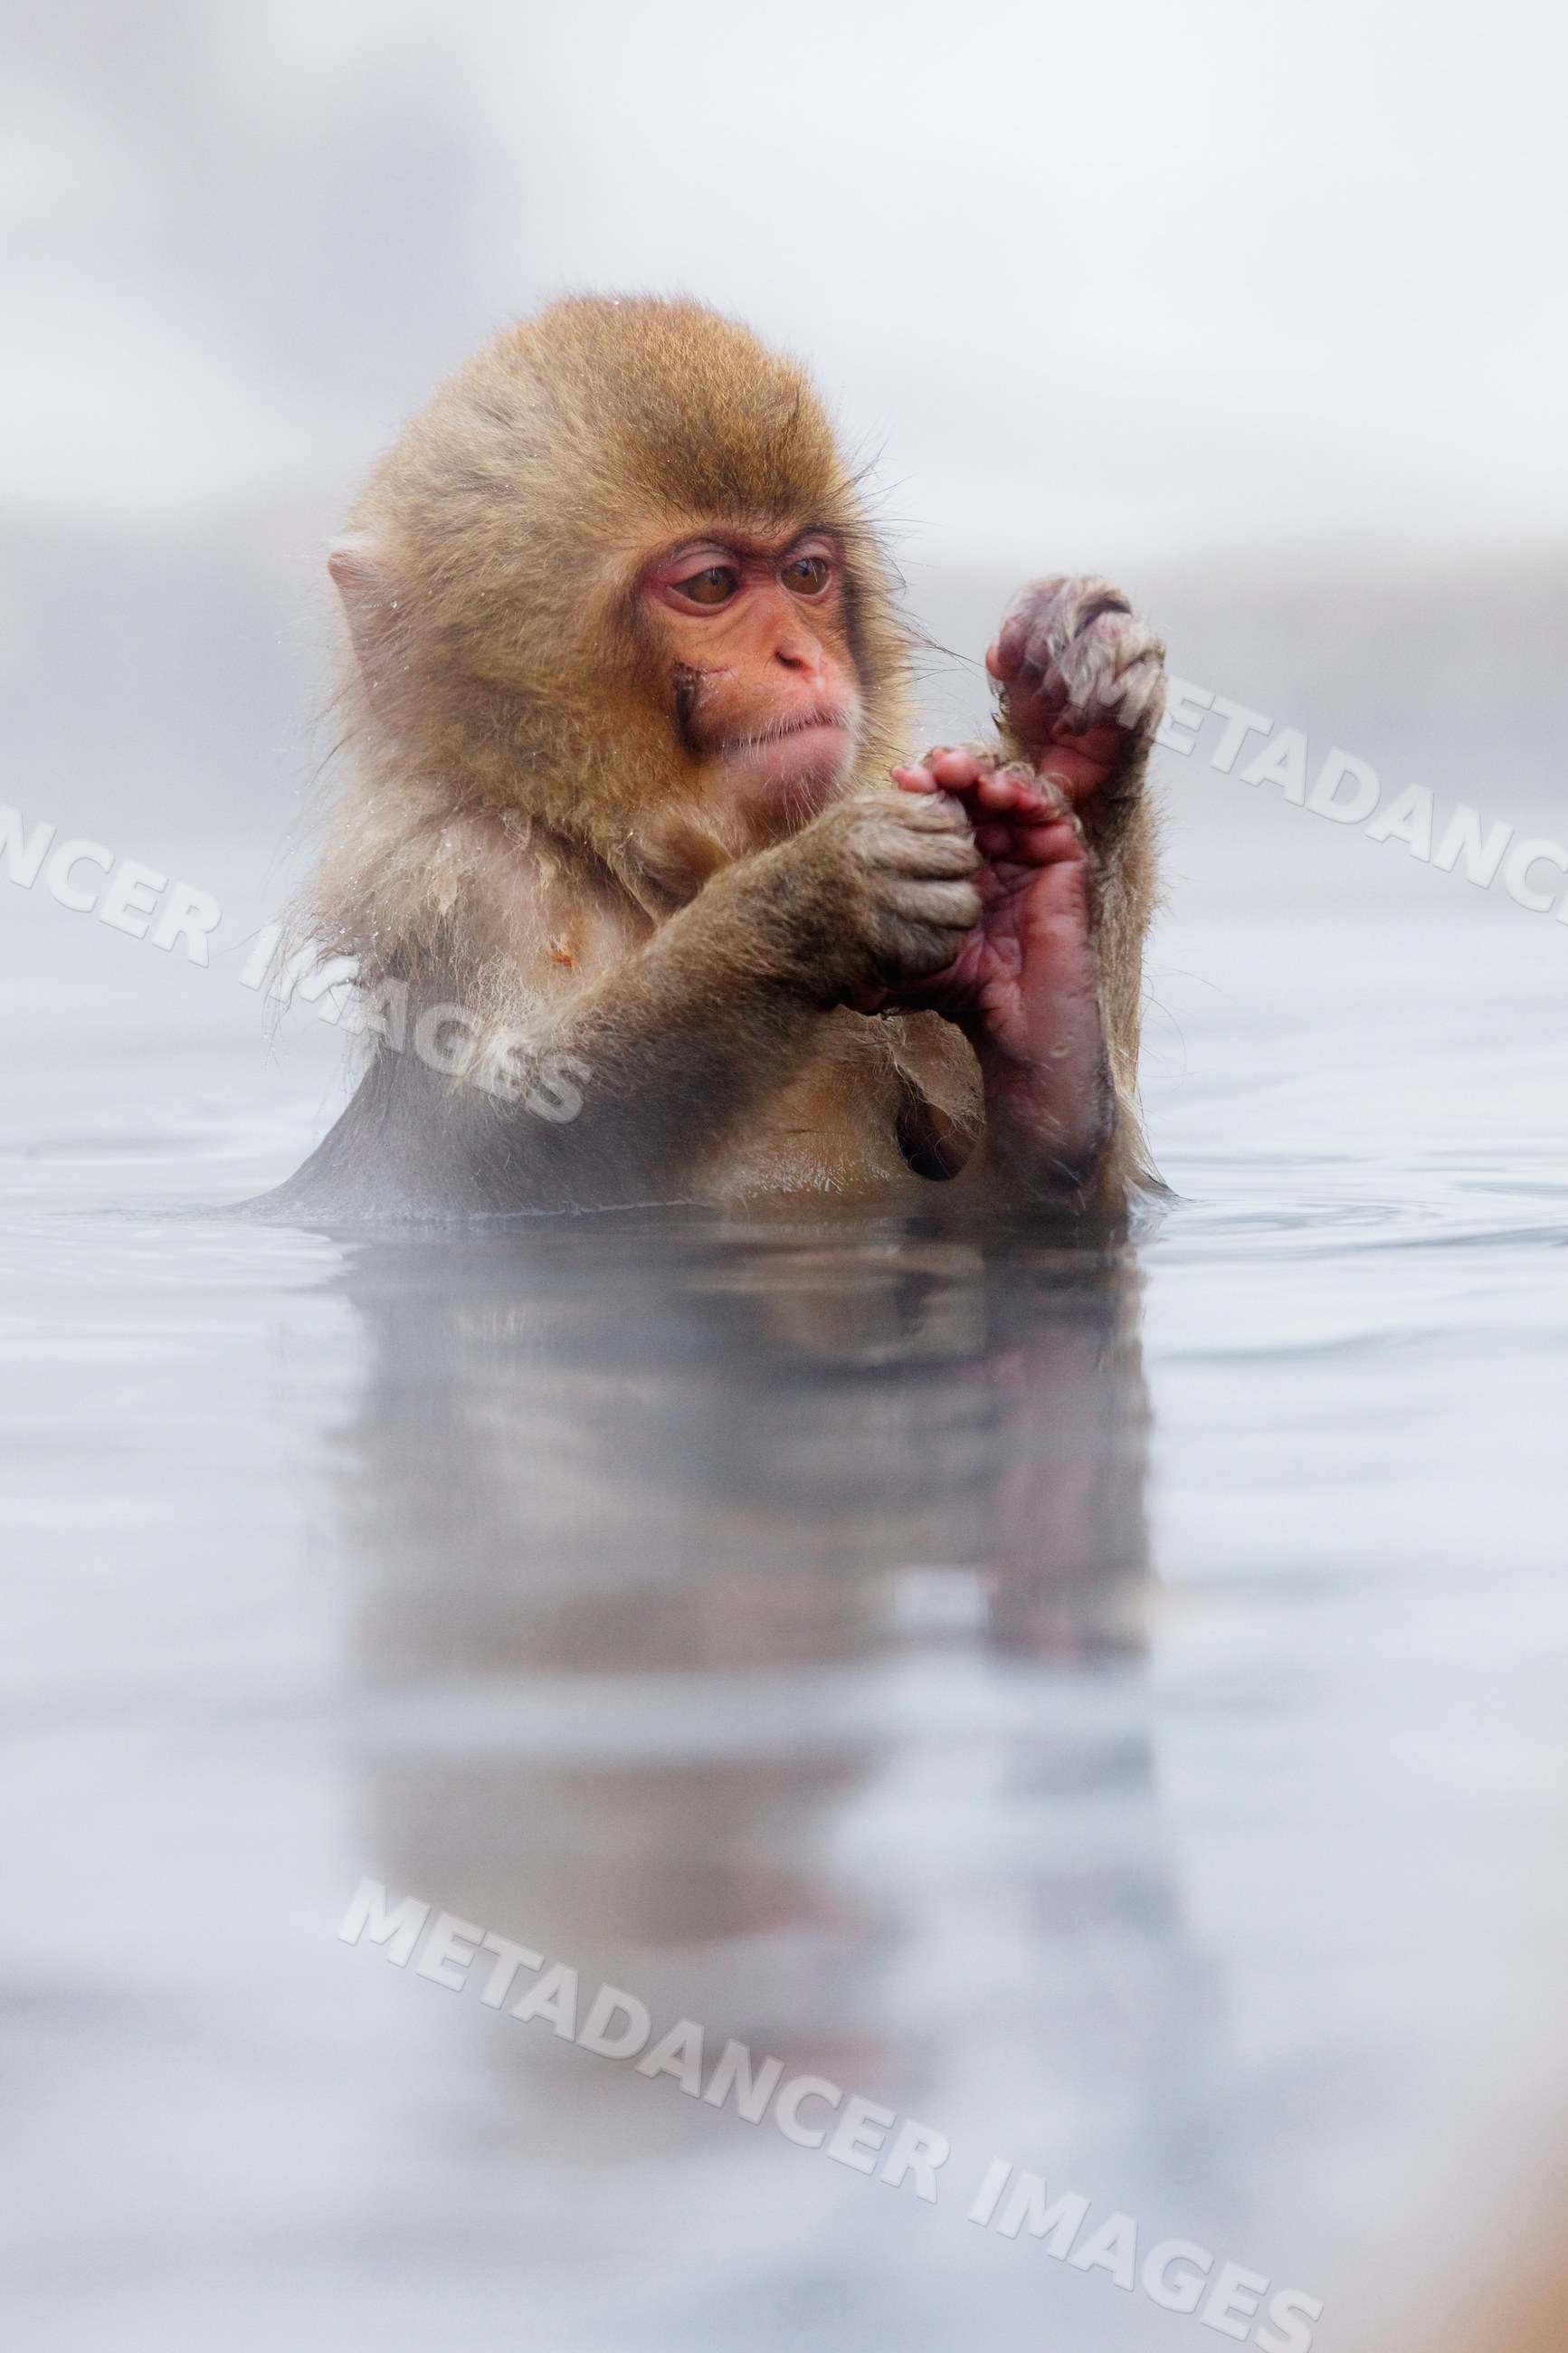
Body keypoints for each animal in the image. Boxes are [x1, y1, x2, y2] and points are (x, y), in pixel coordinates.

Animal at [255, 296, 1166, 1225]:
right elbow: (499, 1149)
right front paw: (817, 897)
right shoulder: (463, 876)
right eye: (710, 586)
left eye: (806, 573)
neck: (637, 868)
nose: (801, 655)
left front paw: (1071, 755)